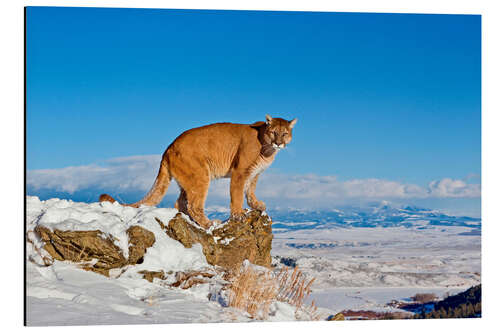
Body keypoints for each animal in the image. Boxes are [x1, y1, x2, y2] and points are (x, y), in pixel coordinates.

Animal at [100, 115, 296, 228]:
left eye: (285, 133)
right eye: (274, 132)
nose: (279, 143)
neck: (267, 148)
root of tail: (168, 147)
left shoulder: (254, 173)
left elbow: (250, 191)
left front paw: (257, 205)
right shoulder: (240, 172)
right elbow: (237, 194)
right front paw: (238, 215)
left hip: (188, 179)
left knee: (180, 202)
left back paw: (193, 223)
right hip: (200, 176)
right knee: (194, 205)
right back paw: (209, 224)